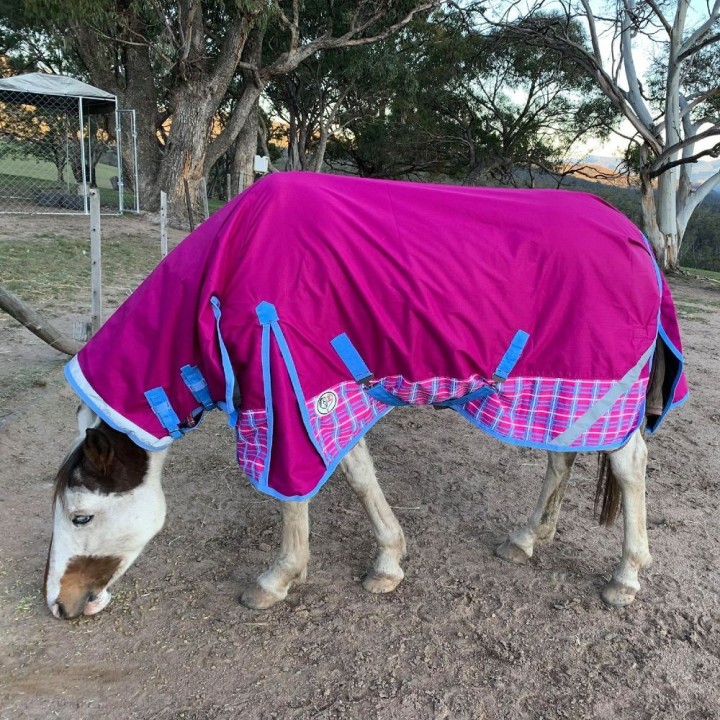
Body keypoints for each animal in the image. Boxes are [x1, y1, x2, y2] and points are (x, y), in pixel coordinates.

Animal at [43, 172, 687, 619]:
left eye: (81, 515)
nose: (60, 604)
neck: (231, 267)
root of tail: (636, 237)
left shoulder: (289, 391)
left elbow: (294, 495)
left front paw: (277, 578)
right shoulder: (324, 395)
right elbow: (358, 475)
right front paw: (388, 562)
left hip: (600, 382)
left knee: (629, 466)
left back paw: (626, 576)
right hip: (568, 392)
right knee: (563, 455)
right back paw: (528, 539)